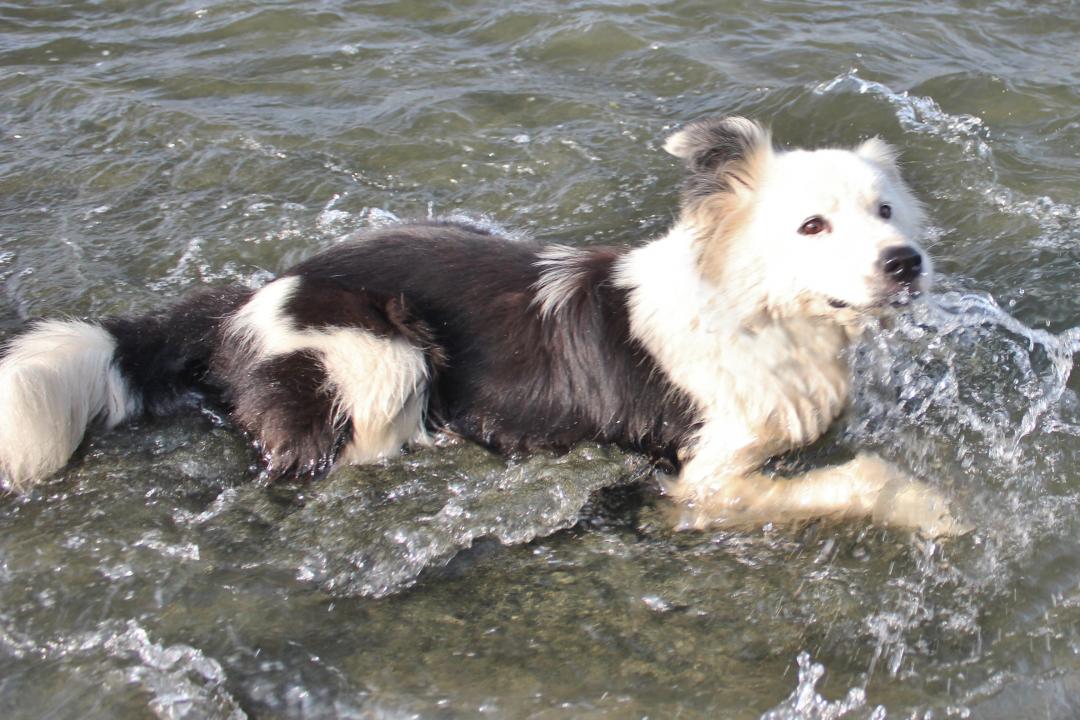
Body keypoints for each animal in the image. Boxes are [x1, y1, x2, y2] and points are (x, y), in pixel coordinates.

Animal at [0, 117, 963, 535]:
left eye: (886, 210)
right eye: (812, 226)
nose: (905, 263)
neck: (756, 312)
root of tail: (247, 303)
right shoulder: (705, 480)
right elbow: (863, 478)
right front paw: (940, 514)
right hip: (379, 359)